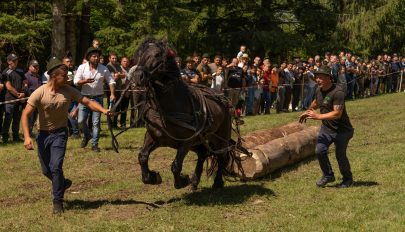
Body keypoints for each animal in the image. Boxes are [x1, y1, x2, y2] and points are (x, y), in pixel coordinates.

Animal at [118, 38, 245, 189]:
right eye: (138, 55)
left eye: (157, 54)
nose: (138, 76)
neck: (167, 107)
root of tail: (224, 100)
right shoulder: (153, 137)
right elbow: (142, 156)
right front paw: (152, 177)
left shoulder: (187, 142)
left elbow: (176, 165)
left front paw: (182, 180)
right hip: (199, 141)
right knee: (203, 153)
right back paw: (195, 181)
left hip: (220, 138)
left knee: (221, 157)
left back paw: (217, 183)